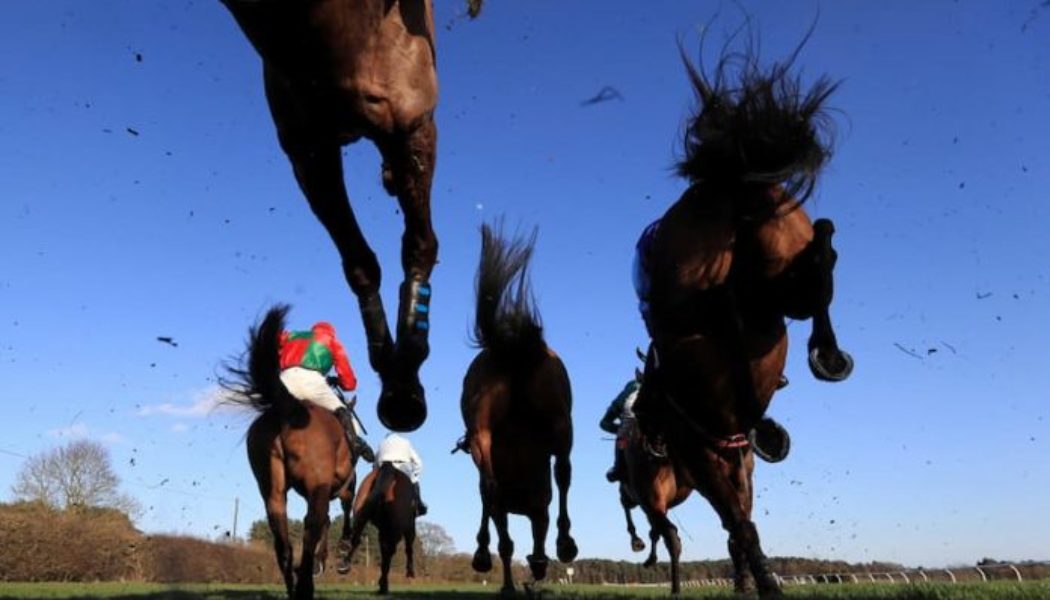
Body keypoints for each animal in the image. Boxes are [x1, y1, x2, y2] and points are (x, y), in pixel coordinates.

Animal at [221, 0, 484, 433]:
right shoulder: (309, 151)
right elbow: (360, 262)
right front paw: (392, 371)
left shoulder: (409, 123)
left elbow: (419, 243)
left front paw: (405, 376)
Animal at [224, 305, 360, 599]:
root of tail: (286, 407)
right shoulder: (344, 485)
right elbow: (343, 513)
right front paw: (341, 556)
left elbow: (328, 522)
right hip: (316, 485)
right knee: (312, 526)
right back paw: (305, 584)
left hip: (271, 486)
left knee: (283, 541)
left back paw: (294, 584)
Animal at [336, 462, 418, 594]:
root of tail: (389, 469)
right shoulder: (407, 527)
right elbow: (406, 548)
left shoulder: (383, 531)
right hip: (396, 528)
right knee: (392, 551)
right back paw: (388, 583)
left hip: (361, 510)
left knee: (356, 538)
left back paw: (344, 563)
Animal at [458, 223, 578, 594]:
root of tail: (512, 349)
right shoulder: (538, 506)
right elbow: (520, 537)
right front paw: (533, 566)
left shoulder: (531, 505)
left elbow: (504, 533)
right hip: (560, 424)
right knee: (563, 471)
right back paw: (565, 543)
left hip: (486, 435)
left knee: (496, 489)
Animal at [631, 39, 854, 598]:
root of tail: (730, 186)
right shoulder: (722, 460)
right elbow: (740, 524)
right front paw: (757, 581)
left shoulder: (712, 460)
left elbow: (737, 524)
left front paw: (759, 582)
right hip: (780, 239)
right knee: (817, 259)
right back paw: (827, 357)